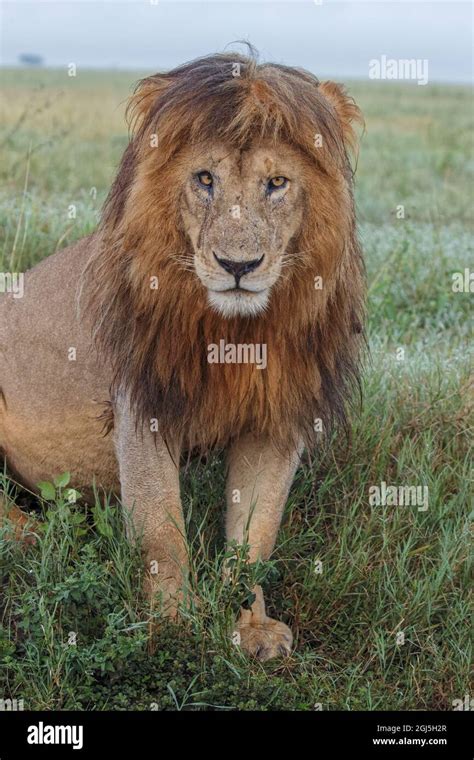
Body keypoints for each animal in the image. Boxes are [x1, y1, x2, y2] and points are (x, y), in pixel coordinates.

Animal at [0, 52, 366, 660]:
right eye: (204, 179)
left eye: (276, 183)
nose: (238, 265)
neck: (237, 331)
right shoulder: (141, 404)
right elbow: (160, 528)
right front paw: (173, 626)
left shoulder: (276, 418)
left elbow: (255, 532)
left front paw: (251, 626)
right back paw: (36, 535)